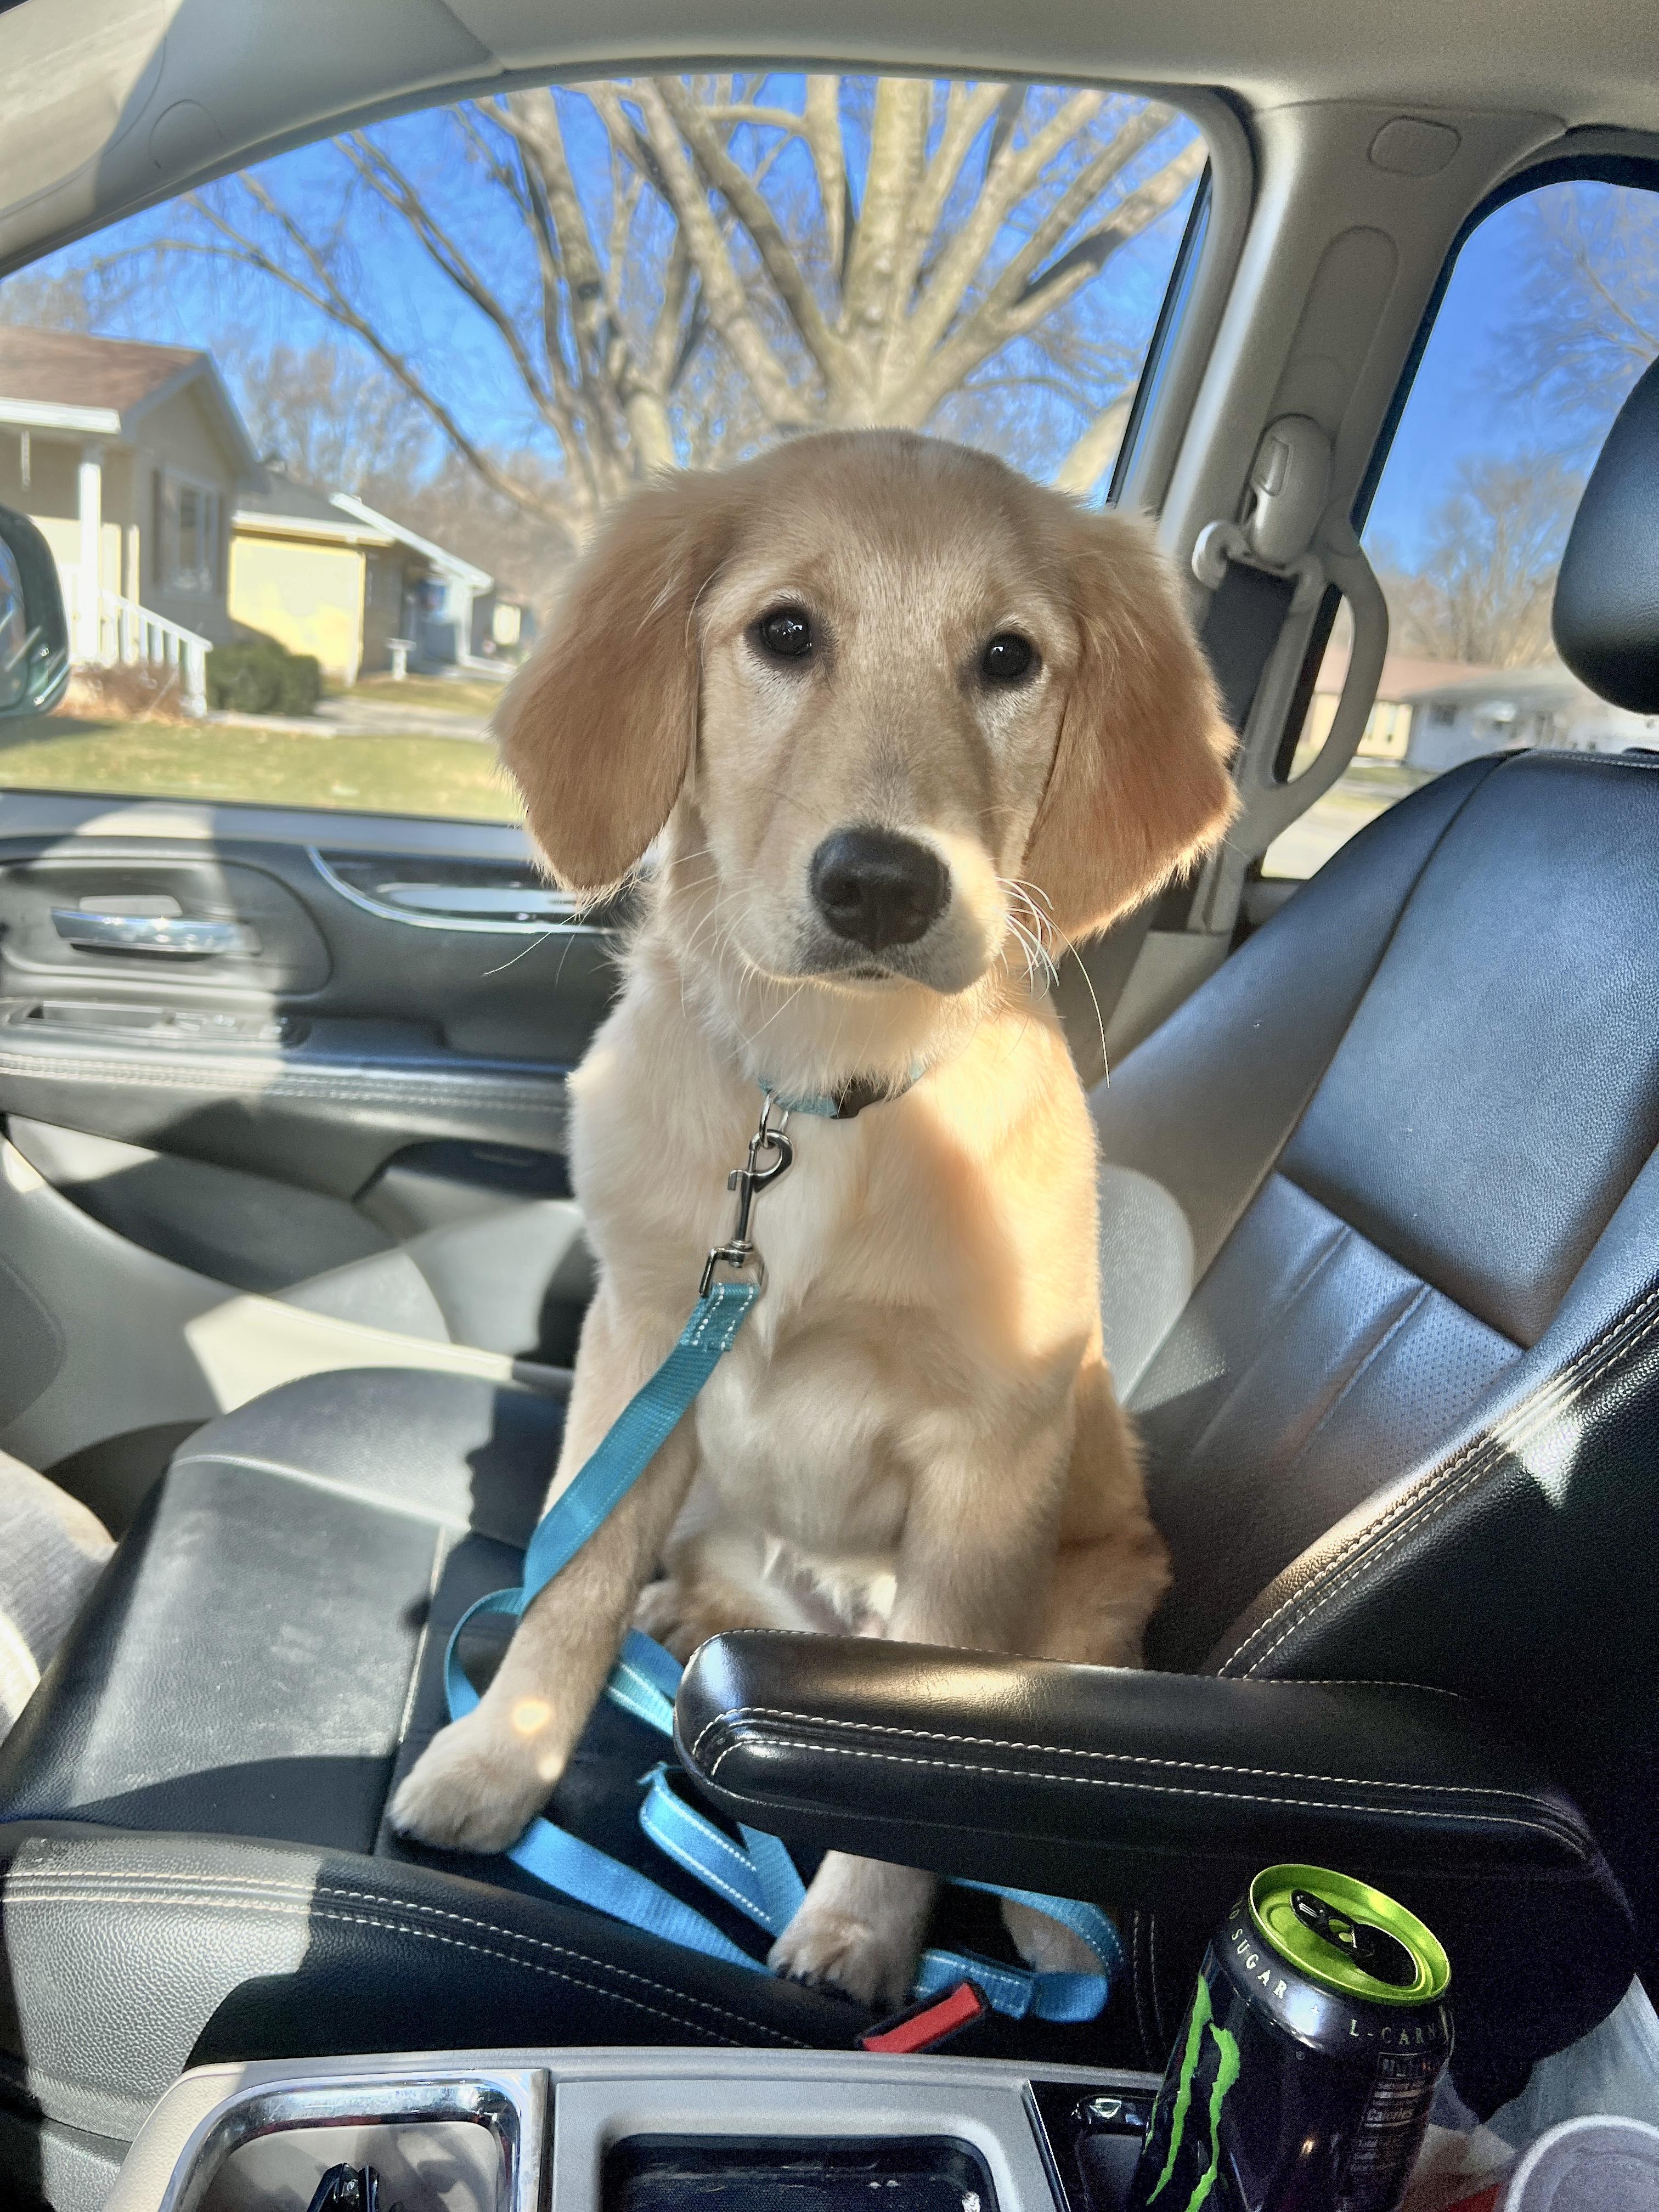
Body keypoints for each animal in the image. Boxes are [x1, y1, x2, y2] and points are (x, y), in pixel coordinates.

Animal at [390, 429, 1236, 2006]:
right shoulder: (641, 1336)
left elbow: (942, 1738)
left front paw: (864, 1928)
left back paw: (1047, 1920)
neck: (822, 1094)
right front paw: (499, 1760)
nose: (883, 885)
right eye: (785, 634)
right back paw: (683, 1619)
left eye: (1010, 658)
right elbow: (573, 1583)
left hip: (1100, 1594)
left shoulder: (992, 1454)